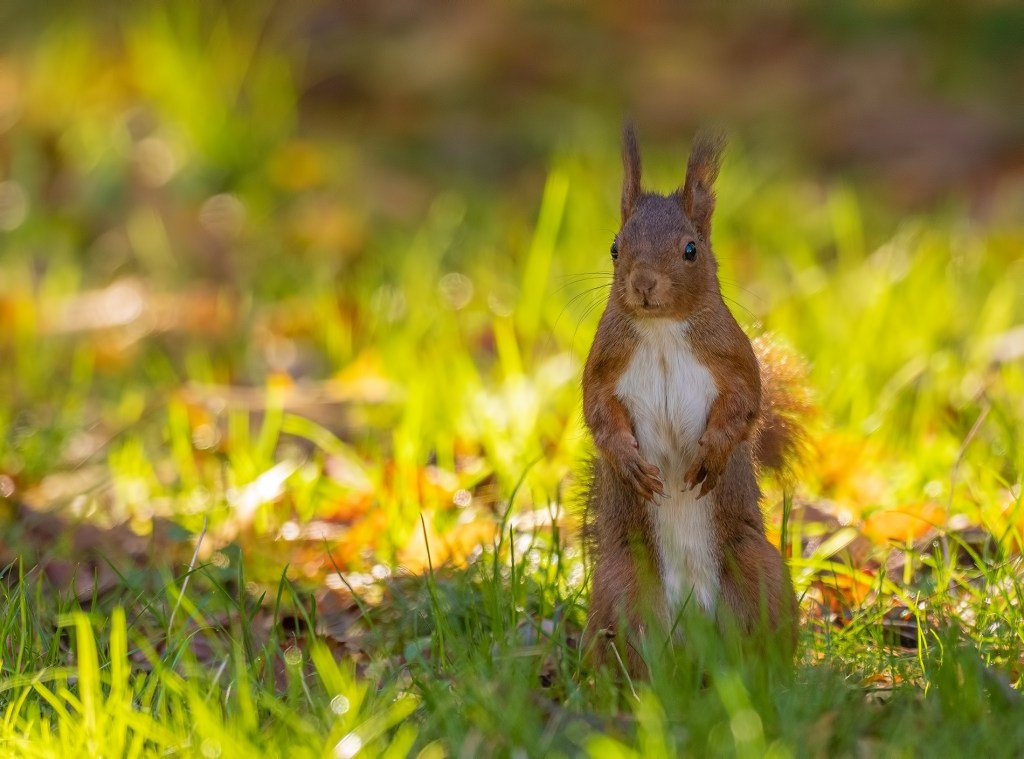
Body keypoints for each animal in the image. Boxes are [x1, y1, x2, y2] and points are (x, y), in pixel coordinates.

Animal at [582, 124, 802, 675]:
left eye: (690, 250)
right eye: (615, 247)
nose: (643, 284)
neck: (661, 329)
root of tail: (695, 625)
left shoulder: (733, 359)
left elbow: (745, 406)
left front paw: (713, 453)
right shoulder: (603, 366)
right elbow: (598, 413)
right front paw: (628, 462)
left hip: (760, 570)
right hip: (620, 586)